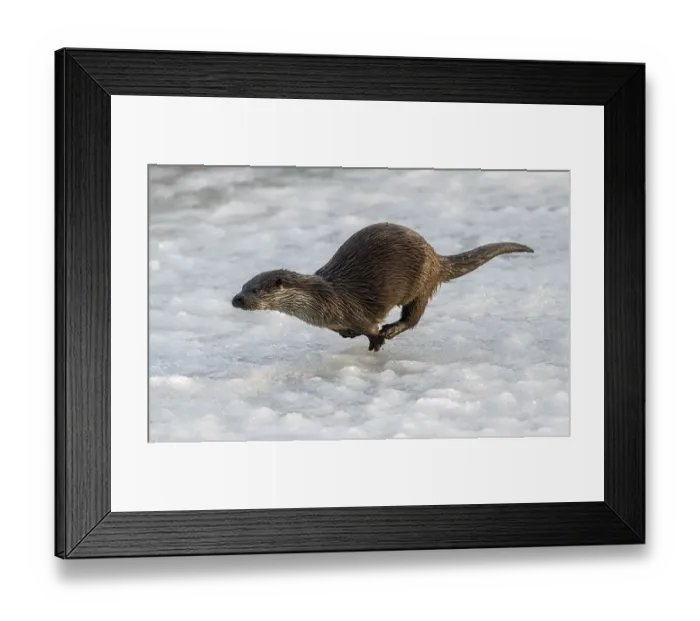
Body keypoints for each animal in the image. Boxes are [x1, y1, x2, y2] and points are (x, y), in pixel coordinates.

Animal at [232, 223, 533, 352]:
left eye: (255, 290)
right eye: (243, 285)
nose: (236, 299)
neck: (322, 300)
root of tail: (435, 256)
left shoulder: (355, 312)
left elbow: (370, 328)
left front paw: (376, 342)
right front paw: (349, 335)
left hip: (420, 281)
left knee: (413, 316)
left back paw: (392, 330)